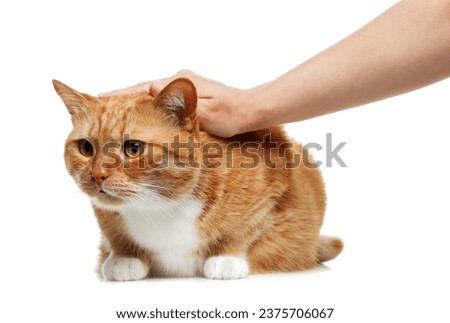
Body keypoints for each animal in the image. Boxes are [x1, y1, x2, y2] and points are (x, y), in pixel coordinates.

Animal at [53, 78, 342, 280]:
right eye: (86, 148)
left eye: (133, 148)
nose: (97, 175)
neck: (157, 207)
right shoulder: (104, 214)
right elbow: (114, 234)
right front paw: (124, 256)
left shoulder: (272, 186)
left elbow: (245, 228)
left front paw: (227, 258)